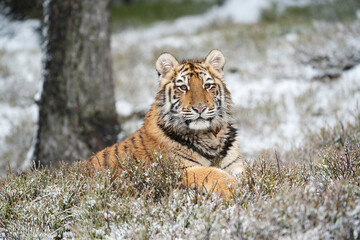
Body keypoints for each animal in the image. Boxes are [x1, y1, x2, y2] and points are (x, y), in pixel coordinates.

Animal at [87, 50, 245, 199]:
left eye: (207, 86)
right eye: (183, 87)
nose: (200, 108)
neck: (208, 136)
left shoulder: (234, 163)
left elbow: (245, 173)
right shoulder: (180, 169)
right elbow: (215, 173)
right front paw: (236, 189)